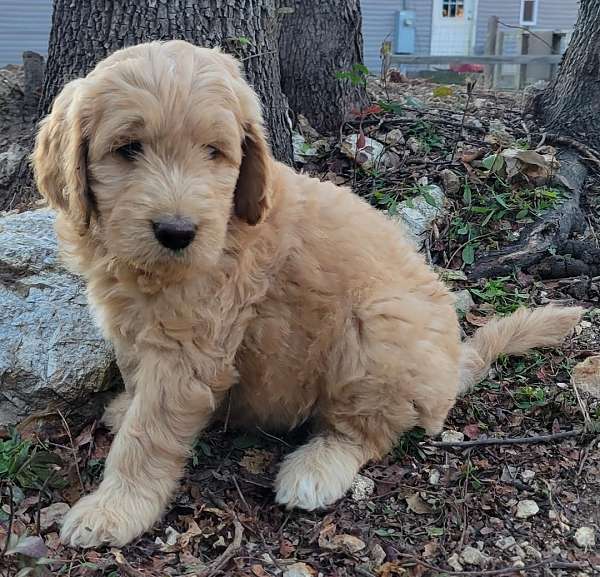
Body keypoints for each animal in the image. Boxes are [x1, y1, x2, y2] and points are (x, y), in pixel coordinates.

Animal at [31, 39, 580, 544]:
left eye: (213, 152)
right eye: (128, 149)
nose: (177, 232)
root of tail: (454, 365)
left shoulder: (191, 349)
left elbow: (149, 433)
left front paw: (115, 509)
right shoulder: (133, 322)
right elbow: (135, 376)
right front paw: (126, 405)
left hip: (378, 330)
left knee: (367, 432)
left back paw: (316, 467)